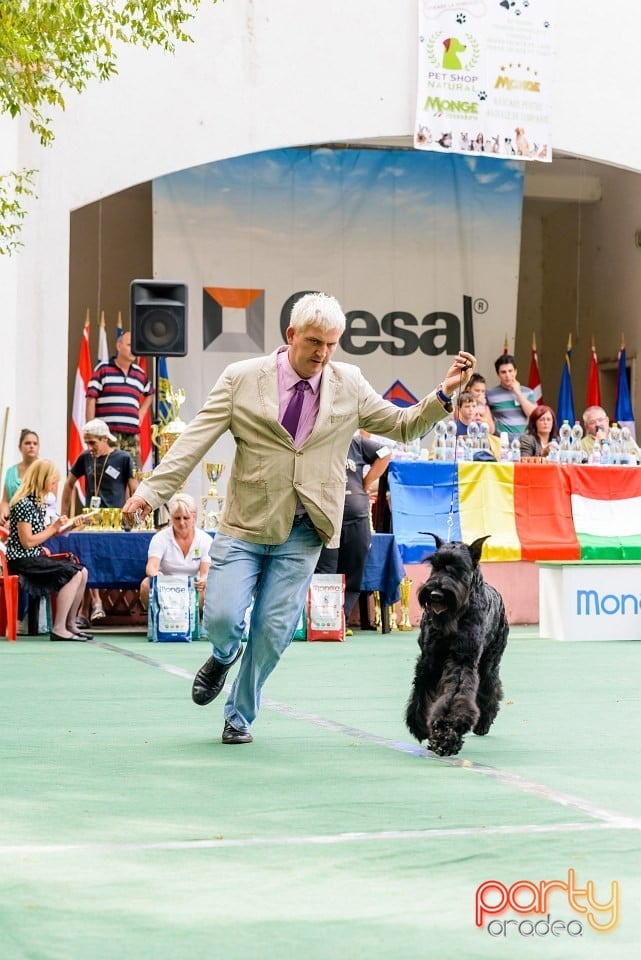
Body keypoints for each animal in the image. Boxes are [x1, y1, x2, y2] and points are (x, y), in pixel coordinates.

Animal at [404, 536, 510, 752]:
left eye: (459, 567)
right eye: (434, 565)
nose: (436, 594)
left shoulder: (462, 659)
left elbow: (455, 695)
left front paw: (447, 734)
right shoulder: (429, 660)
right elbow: (422, 692)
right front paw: (421, 726)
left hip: (490, 662)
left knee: (491, 686)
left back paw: (483, 723)